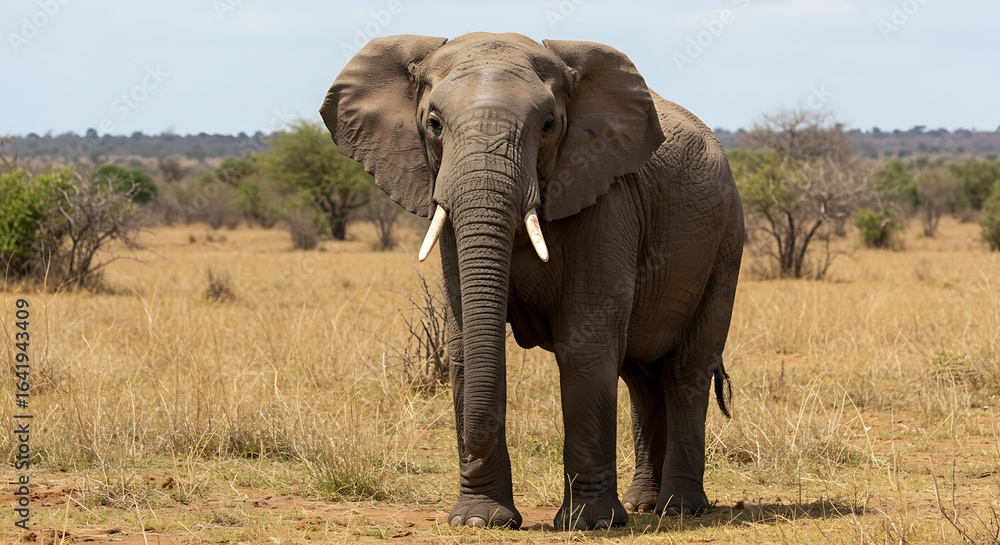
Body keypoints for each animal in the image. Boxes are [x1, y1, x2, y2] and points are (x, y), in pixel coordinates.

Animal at [320, 33, 744, 530]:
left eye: (548, 125)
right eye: (433, 124)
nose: (472, 441)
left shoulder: (608, 199)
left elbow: (585, 343)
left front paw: (589, 524)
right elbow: (465, 342)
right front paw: (480, 521)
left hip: (725, 242)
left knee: (685, 370)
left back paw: (678, 508)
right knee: (640, 377)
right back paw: (643, 505)